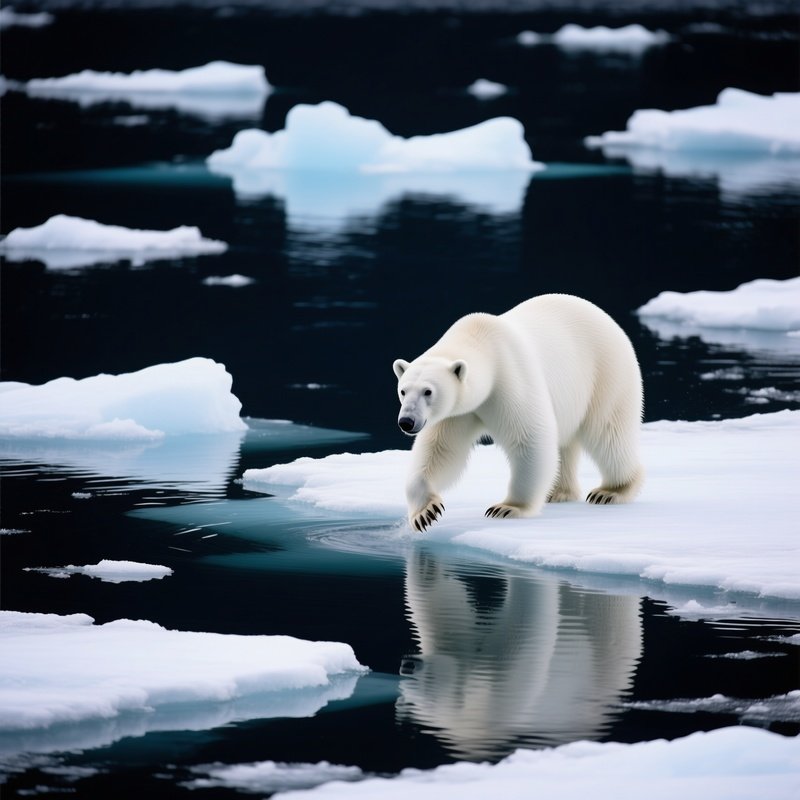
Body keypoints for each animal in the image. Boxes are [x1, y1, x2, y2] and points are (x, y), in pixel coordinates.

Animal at [393, 294, 644, 532]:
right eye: (403, 390)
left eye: (428, 391)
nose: (406, 421)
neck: (482, 342)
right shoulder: (458, 412)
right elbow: (440, 449)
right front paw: (425, 512)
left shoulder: (509, 379)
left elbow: (529, 439)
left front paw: (508, 508)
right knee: (566, 443)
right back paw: (558, 492)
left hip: (606, 372)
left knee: (607, 433)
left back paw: (611, 491)